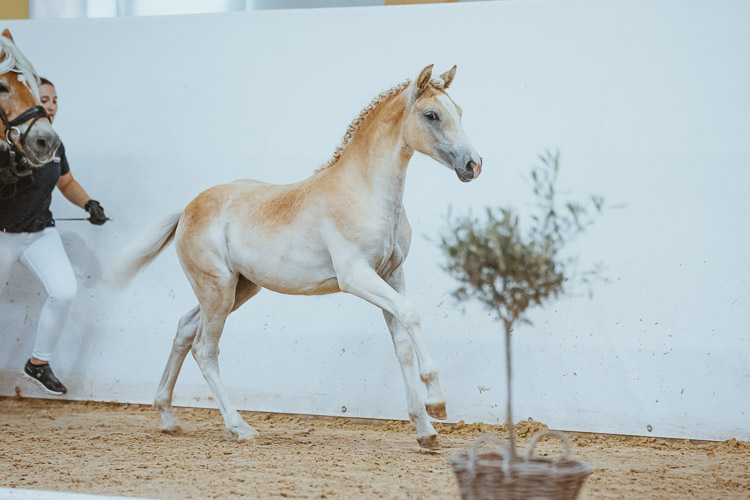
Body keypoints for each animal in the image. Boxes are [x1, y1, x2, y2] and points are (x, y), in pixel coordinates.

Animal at [113, 64, 482, 449]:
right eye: (432, 115)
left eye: (459, 111)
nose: (473, 165)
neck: (366, 192)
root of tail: (187, 209)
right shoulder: (356, 277)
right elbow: (411, 315)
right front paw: (437, 403)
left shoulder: (392, 276)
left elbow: (403, 344)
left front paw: (425, 431)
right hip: (217, 290)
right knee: (205, 349)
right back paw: (240, 427)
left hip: (238, 289)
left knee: (185, 329)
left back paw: (168, 417)